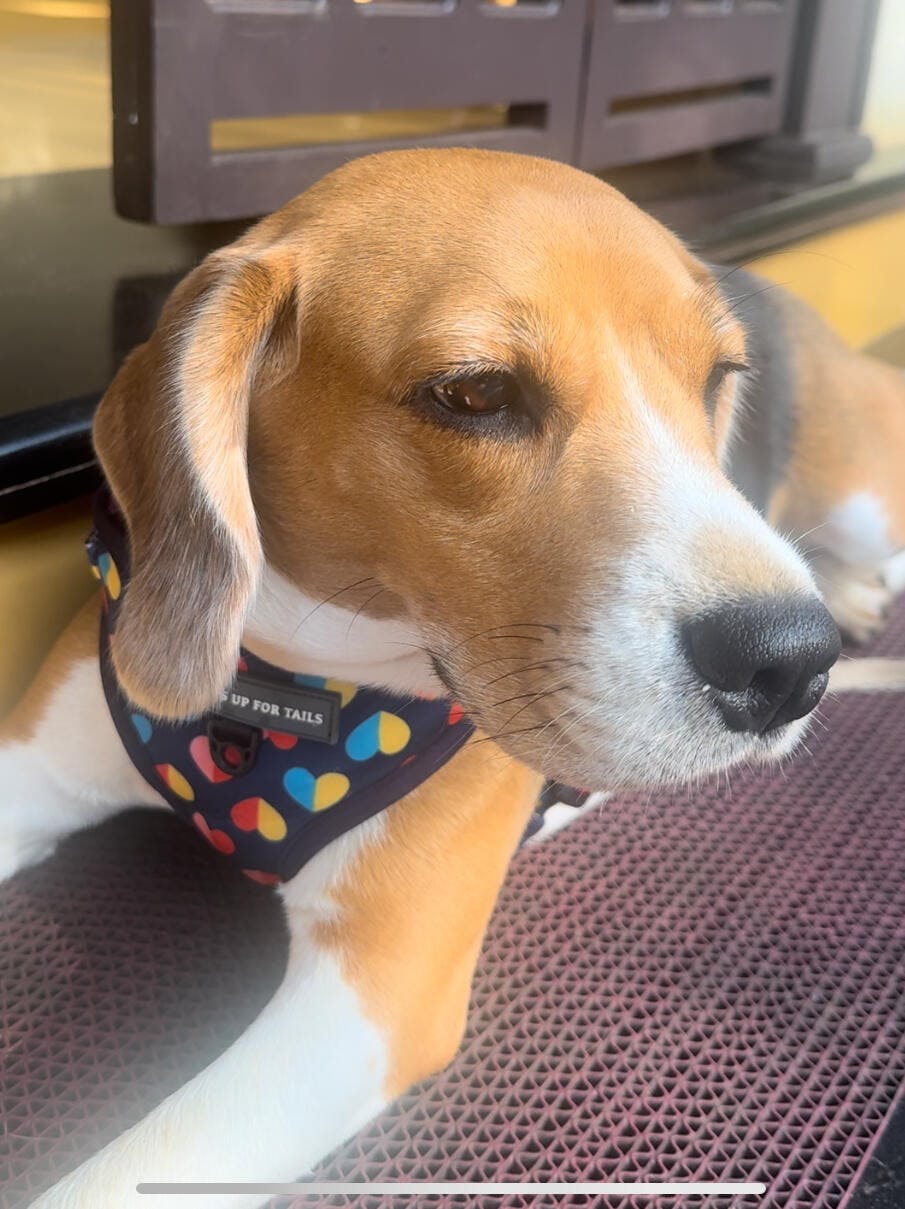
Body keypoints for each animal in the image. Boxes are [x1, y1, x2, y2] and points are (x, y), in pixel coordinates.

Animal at [4, 148, 904, 1208]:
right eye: (474, 395)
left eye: (717, 380)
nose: (789, 662)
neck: (280, 693)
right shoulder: (30, 770)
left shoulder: (374, 995)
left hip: (869, 496)